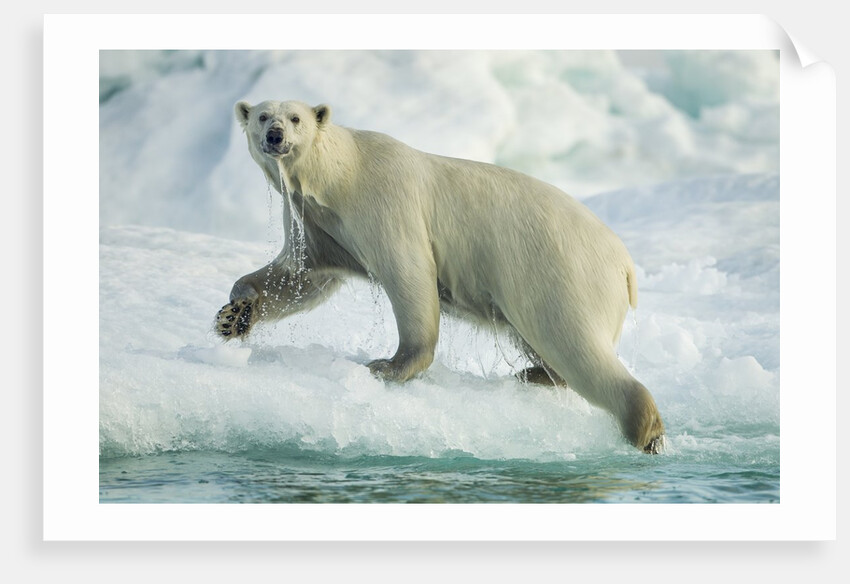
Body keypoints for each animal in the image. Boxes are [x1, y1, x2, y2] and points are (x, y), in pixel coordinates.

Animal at [215, 99, 666, 453]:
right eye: (262, 115)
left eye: (295, 117)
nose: (274, 135)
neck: (342, 177)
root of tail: (625, 264)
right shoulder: (318, 225)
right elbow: (298, 278)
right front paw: (233, 316)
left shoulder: (386, 203)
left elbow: (409, 274)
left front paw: (387, 366)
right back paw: (534, 373)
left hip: (561, 271)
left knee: (573, 341)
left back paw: (644, 428)